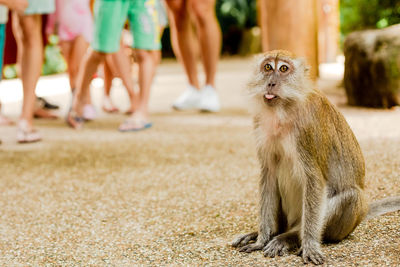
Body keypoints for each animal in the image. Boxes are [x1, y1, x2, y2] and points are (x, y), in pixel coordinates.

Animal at [231, 50, 400, 266]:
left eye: (283, 69)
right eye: (268, 67)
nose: (271, 83)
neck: (284, 109)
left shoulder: (307, 128)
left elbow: (314, 180)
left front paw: (309, 245)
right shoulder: (260, 123)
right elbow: (268, 175)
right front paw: (261, 239)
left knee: (351, 195)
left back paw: (288, 237)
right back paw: (271, 233)